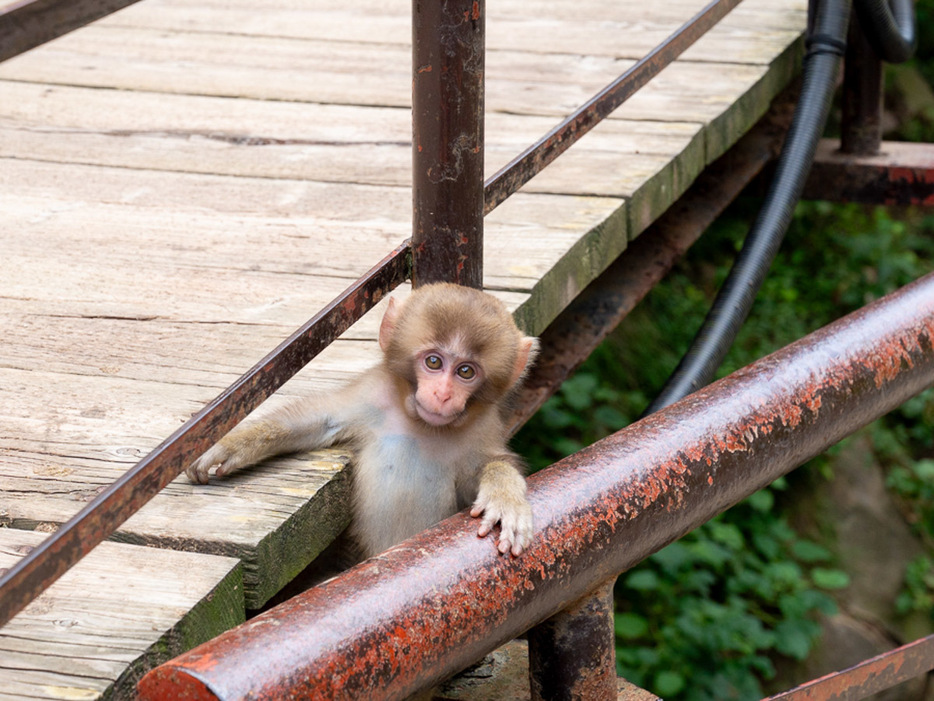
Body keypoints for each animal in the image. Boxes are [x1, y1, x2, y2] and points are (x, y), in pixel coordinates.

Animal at [186, 282, 536, 560]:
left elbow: (491, 464)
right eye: (434, 362)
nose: (443, 394)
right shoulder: (373, 393)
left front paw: (505, 497)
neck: (422, 425)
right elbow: (319, 420)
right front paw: (229, 443)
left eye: (465, 371)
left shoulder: (483, 428)